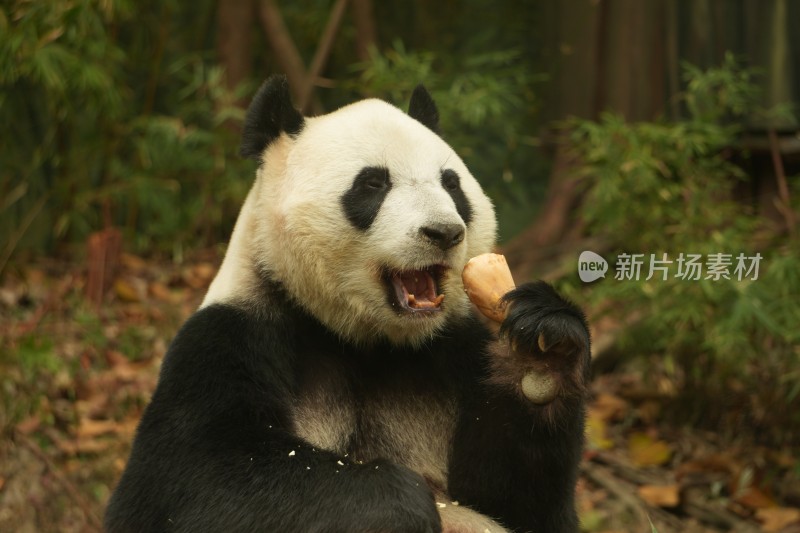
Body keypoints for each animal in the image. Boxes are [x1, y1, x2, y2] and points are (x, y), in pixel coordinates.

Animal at [106, 76, 592, 532]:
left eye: (452, 185)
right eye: (373, 183)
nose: (444, 232)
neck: (365, 337)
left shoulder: (455, 350)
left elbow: (515, 500)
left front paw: (543, 352)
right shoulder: (230, 337)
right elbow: (188, 481)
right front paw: (401, 504)